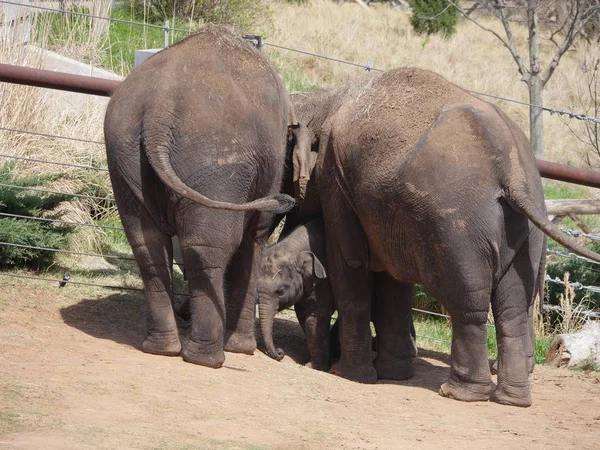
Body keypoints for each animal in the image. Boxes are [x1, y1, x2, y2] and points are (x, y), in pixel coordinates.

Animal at [103, 25, 308, 370]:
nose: (290, 200)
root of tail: (158, 111)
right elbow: (255, 237)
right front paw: (243, 349)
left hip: (124, 150)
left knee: (146, 243)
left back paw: (162, 349)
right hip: (217, 161)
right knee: (208, 247)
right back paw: (207, 359)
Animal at [255, 217, 336, 370]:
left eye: (281, 291)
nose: (280, 352)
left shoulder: (324, 280)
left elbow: (315, 317)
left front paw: (313, 367)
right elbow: (302, 315)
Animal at [284, 67, 600, 408]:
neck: (324, 98)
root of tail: (511, 168)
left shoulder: (336, 179)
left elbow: (351, 262)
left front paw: (347, 375)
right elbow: (393, 281)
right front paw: (393, 374)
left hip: (458, 225)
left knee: (467, 301)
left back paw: (460, 393)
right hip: (526, 228)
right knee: (513, 308)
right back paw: (512, 400)